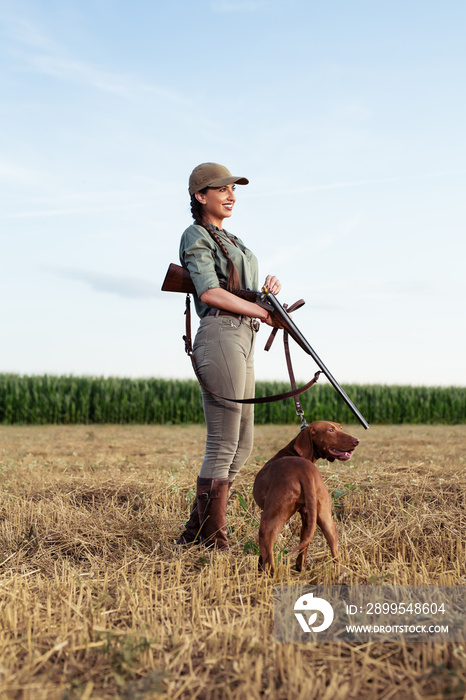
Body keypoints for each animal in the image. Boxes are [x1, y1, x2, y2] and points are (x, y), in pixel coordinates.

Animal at [253, 422, 358, 576]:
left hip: (270, 521)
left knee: (268, 554)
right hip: (325, 517)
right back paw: (338, 572)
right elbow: (305, 544)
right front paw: (299, 566)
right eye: (331, 430)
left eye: (341, 428)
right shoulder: (307, 516)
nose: (357, 441)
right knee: (334, 550)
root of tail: (304, 472)